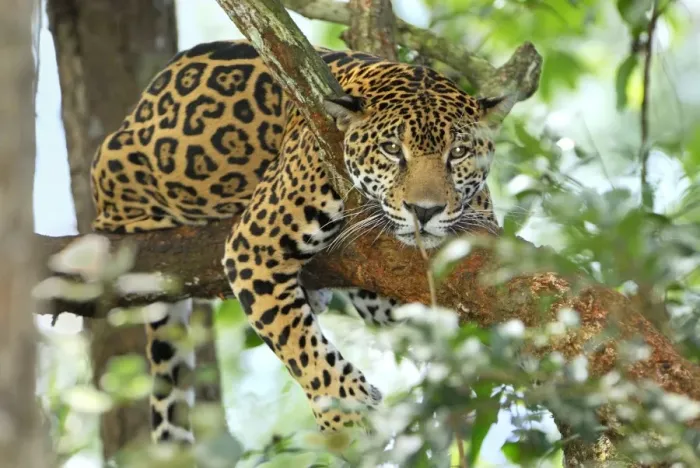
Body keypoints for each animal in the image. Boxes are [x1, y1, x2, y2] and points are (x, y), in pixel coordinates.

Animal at [90, 40, 511, 444]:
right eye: (392, 150)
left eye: (458, 153)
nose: (424, 211)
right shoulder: (253, 247)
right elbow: (296, 341)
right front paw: (343, 413)